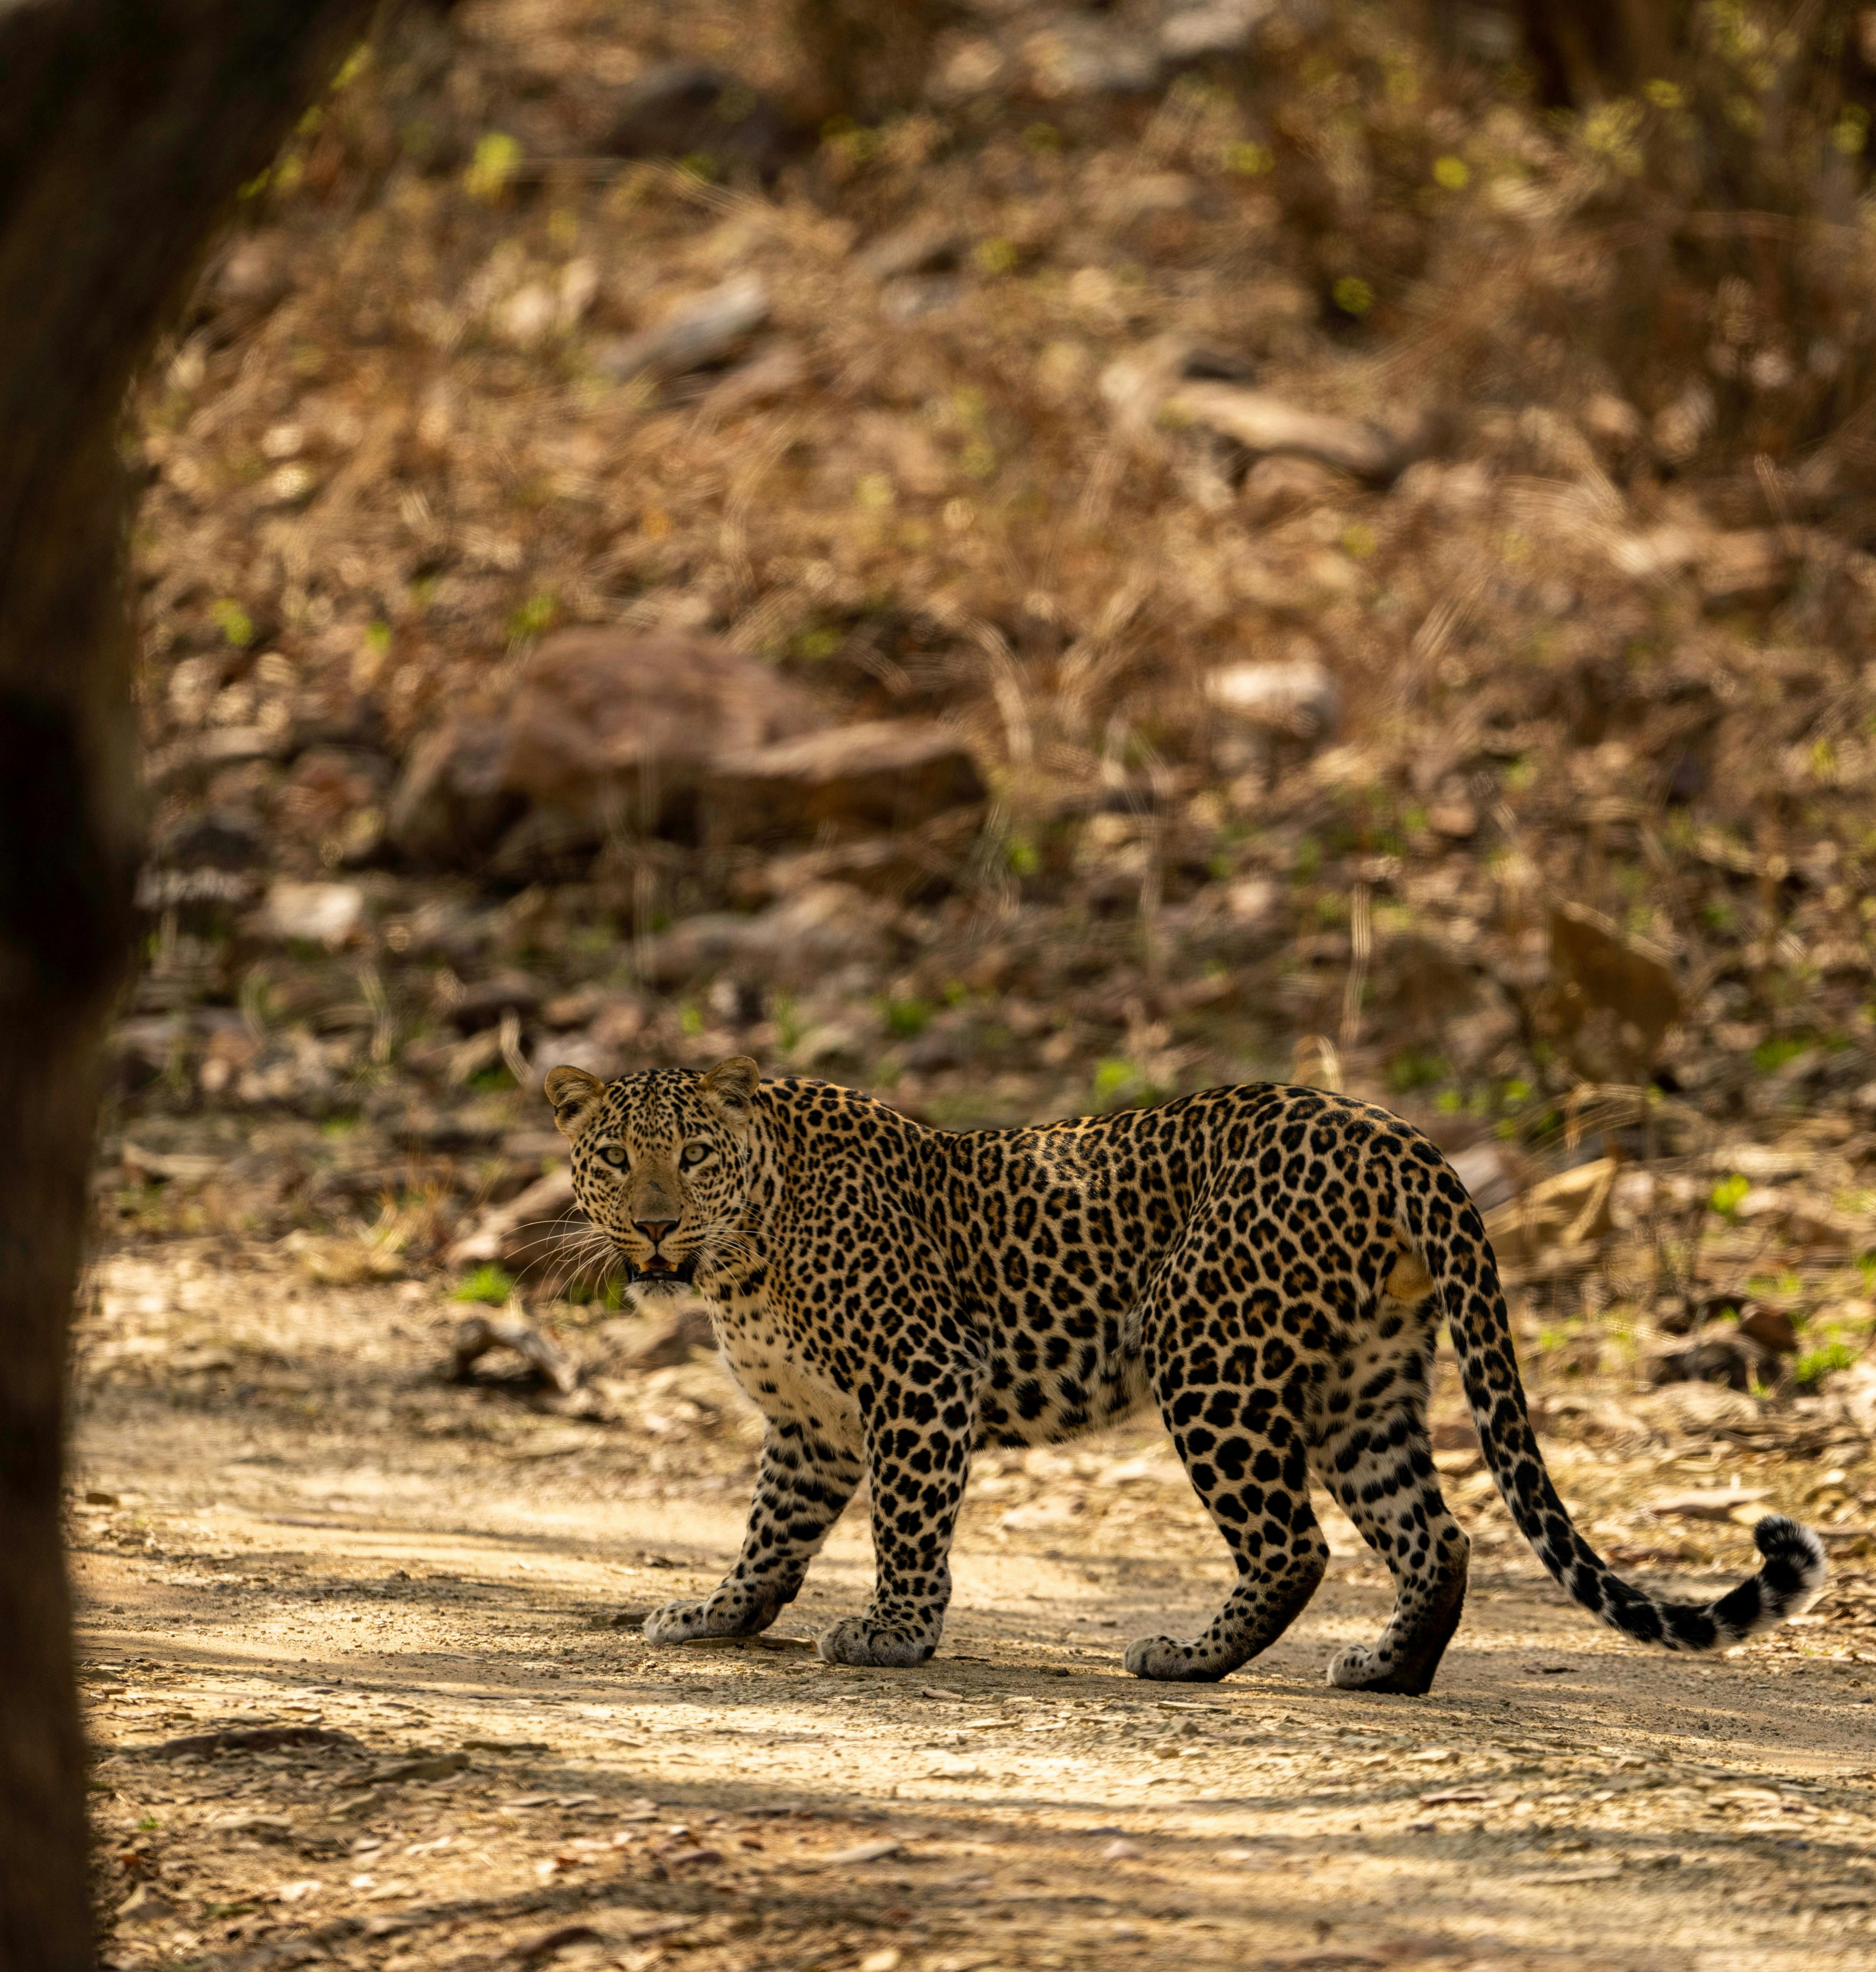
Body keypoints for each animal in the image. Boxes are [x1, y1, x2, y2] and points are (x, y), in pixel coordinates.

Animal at [544, 1057, 1825, 1692]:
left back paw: (1188, 1659)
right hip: (1361, 1385)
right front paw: (713, 1617)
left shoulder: (919, 1377)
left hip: (1207, 1352)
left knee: (1292, 1545)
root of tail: (1400, 1139)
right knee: (1436, 1536)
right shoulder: (809, 1425)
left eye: (691, 1155)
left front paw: (893, 1635)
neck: (740, 1251)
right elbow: (768, 1533)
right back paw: (1382, 1672)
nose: (652, 1228)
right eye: (612, 1158)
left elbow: (904, 1525)